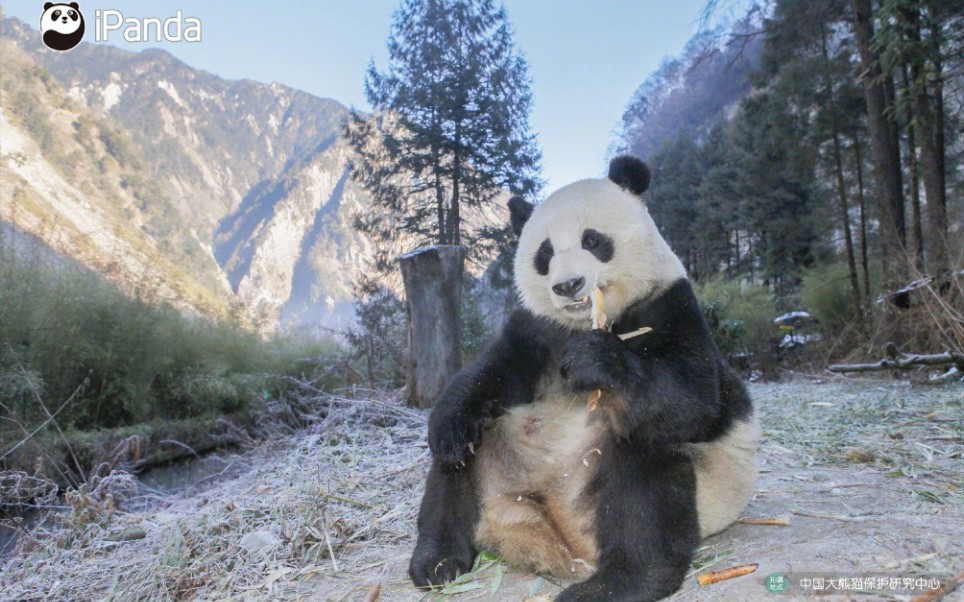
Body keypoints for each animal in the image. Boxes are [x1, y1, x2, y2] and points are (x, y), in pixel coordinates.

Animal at [408, 156, 760, 600]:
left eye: (592, 240)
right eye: (545, 253)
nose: (568, 285)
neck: (589, 322)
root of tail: (558, 531)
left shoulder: (670, 305)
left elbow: (694, 397)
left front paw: (595, 362)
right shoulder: (537, 329)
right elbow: (490, 375)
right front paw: (451, 426)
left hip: (677, 484)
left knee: (644, 466)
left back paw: (617, 583)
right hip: (502, 457)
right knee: (452, 475)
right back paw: (437, 560)